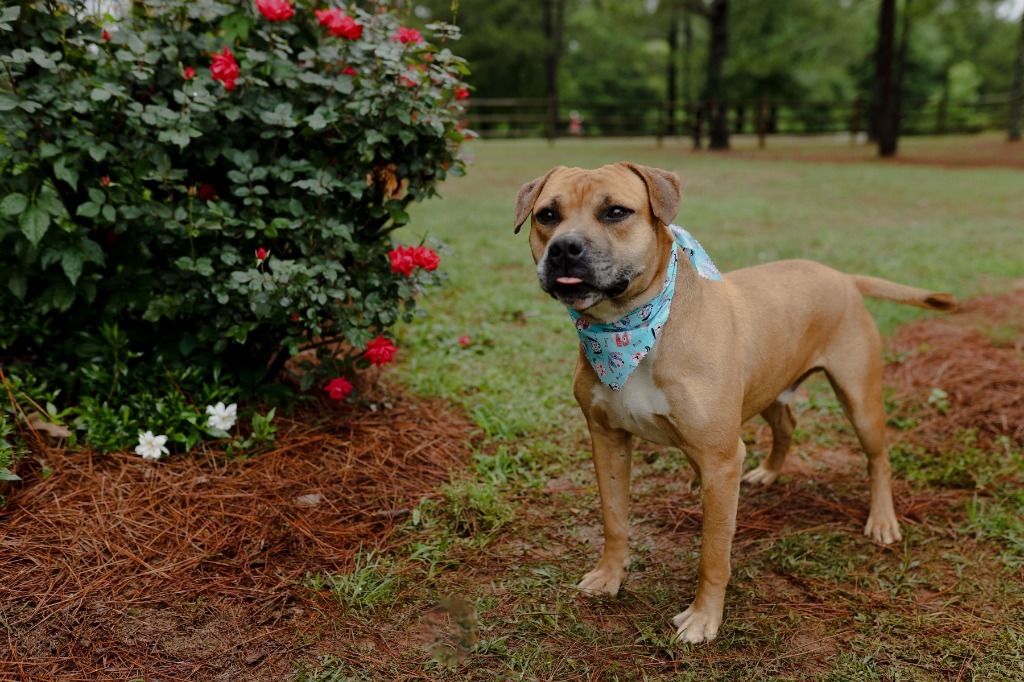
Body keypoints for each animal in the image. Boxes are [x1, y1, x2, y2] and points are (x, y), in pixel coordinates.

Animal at [516, 163, 954, 643]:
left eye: (616, 211)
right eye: (547, 215)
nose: (564, 248)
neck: (632, 328)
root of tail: (842, 276)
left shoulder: (719, 459)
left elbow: (713, 553)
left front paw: (704, 618)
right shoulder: (607, 439)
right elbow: (614, 519)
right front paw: (610, 575)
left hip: (860, 399)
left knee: (878, 458)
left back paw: (882, 520)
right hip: (769, 386)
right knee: (786, 424)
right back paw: (768, 472)